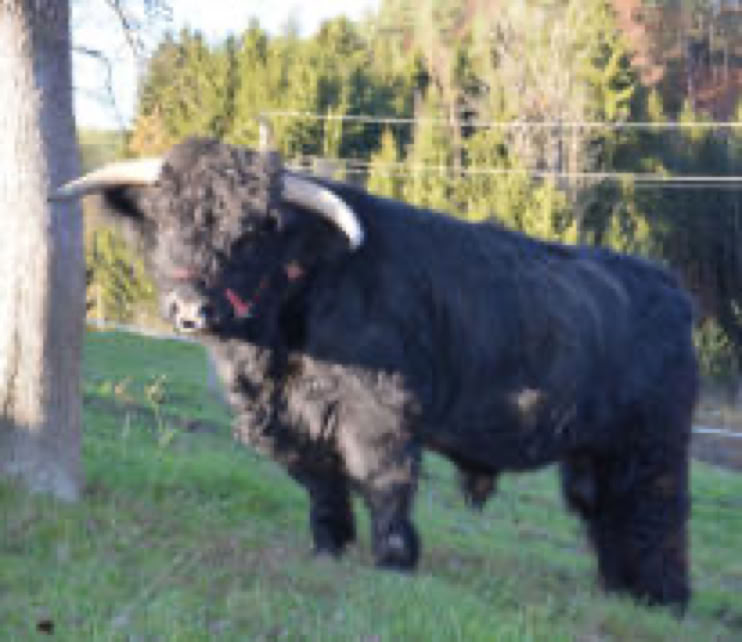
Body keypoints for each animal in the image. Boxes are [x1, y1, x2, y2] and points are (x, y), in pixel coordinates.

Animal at [53, 137, 698, 610]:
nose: (191, 307)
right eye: (167, 223)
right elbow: (322, 489)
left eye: (253, 230)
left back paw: (662, 600)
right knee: (607, 511)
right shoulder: (293, 423)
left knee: (657, 512)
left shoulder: (378, 414)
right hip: (594, 451)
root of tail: (670, 286)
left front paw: (393, 563)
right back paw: (618, 589)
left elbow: (383, 482)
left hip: (653, 443)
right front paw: (328, 550)